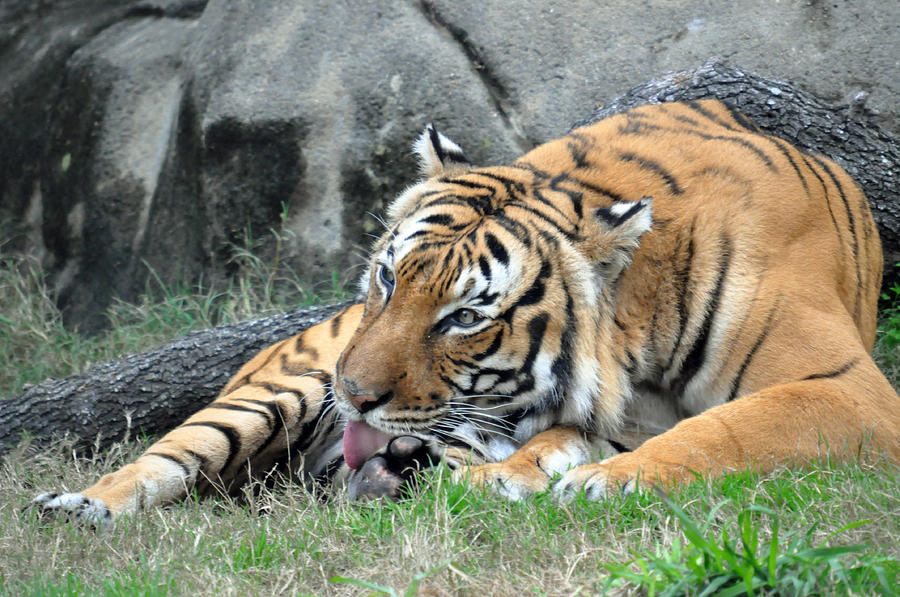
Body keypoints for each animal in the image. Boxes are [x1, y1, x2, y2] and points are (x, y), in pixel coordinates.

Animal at [33, 100, 900, 524]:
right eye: (387, 279)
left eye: (462, 317)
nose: (353, 395)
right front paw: (534, 478)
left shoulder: (849, 386)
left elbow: (728, 426)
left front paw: (603, 482)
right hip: (272, 391)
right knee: (168, 457)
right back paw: (81, 506)